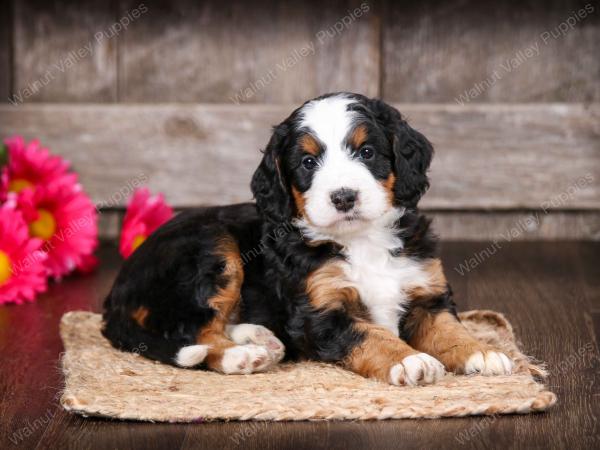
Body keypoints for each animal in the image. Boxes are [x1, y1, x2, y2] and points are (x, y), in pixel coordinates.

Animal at [102, 93, 510, 384]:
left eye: (367, 152)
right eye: (308, 163)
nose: (343, 196)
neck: (361, 240)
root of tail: (117, 290)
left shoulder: (426, 293)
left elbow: (448, 329)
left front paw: (481, 352)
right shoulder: (321, 313)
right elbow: (371, 335)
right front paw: (409, 359)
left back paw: (258, 337)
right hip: (213, 248)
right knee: (193, 329)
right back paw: (240, 355)